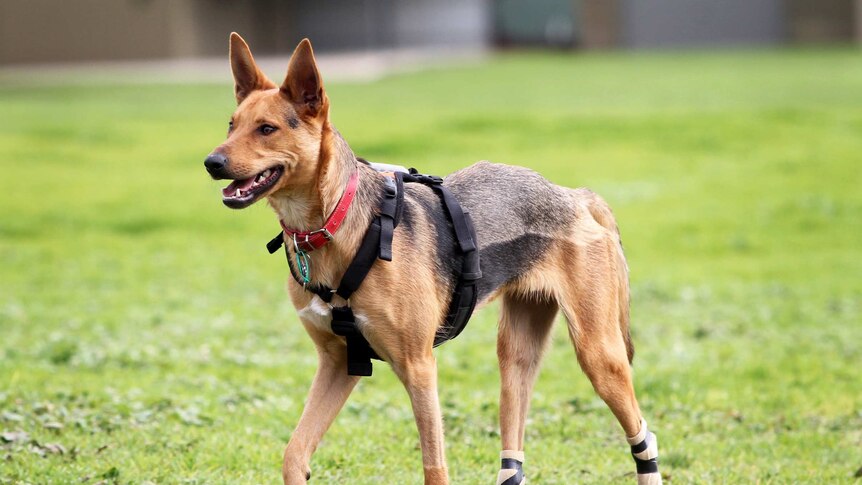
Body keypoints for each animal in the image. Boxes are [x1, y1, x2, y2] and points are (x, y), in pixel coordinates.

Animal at [206, 33, 664, 484]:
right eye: (231, 124)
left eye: (267, 129)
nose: (212, 162)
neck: (334, 223)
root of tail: (575, 196)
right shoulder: (338, 363)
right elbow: (294, 454)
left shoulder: (419, 367)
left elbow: (434, 467)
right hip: (516, 356)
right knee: (513, 458)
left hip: (599, 355)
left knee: (643, 435)